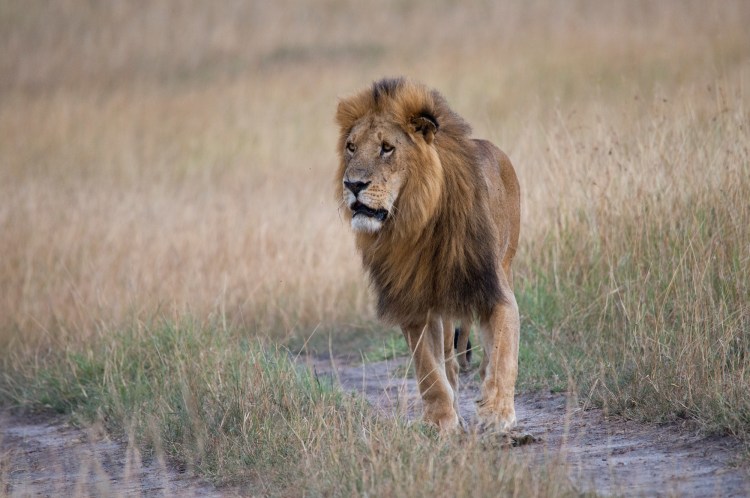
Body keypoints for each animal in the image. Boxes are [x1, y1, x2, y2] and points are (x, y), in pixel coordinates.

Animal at [335, 78, 520, 432]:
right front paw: (440, 421)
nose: (352, 184)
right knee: (448, 360)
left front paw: (496, 412)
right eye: (351, 147)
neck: (419, 220)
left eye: (387, 148)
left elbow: (503, 352)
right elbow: (429, 372)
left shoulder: (494, 288)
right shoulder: (414, 304)